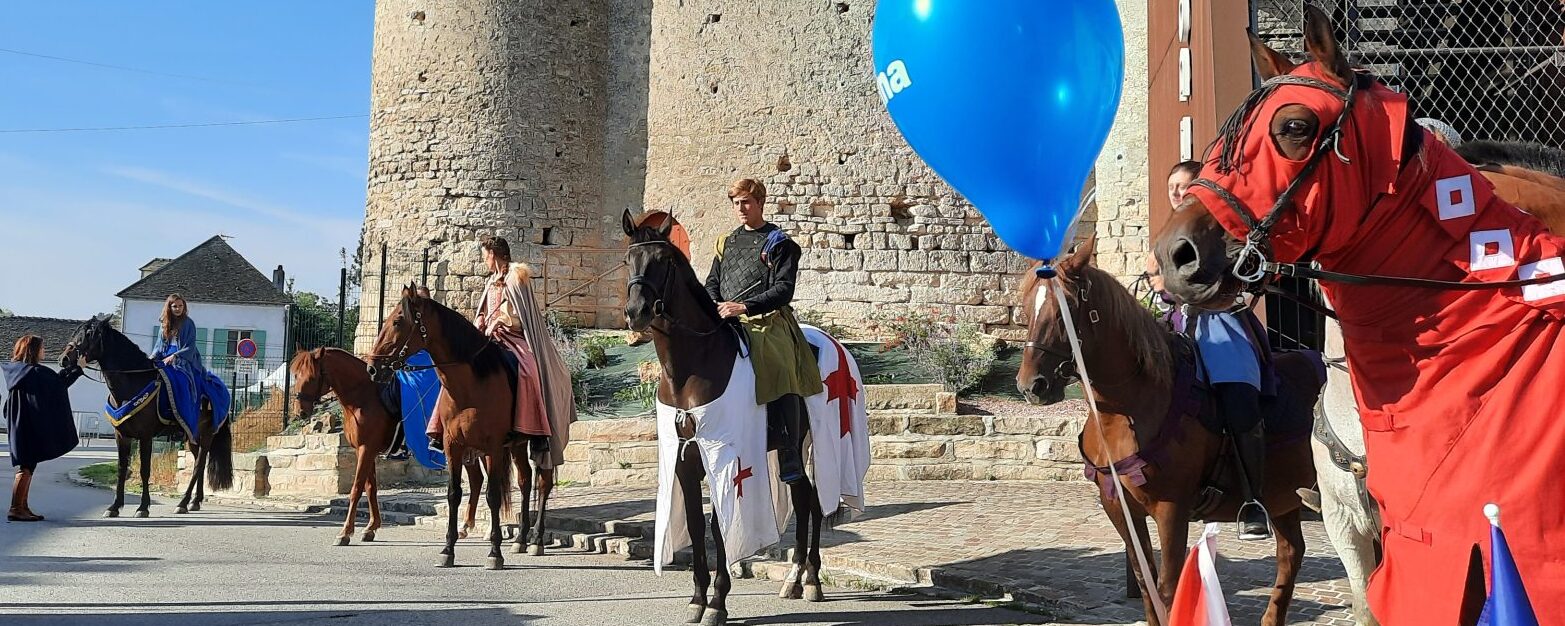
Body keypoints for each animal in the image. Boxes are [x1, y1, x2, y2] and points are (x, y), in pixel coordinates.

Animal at [62, 317, 231, 519]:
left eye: (89, 334)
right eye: (76, 333)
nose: (65, 359)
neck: (131, 384)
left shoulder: (145, 436)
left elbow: (144, 470)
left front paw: (142, 507)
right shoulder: (122, 436)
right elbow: (121, 469)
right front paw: (114, 506)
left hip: (206, 435)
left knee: (198, 465)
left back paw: (182, 503)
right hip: (191, 437)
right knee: (201, 464)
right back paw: (195, 502)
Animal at [287, 347, 488, 547]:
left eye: (312, 376)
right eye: (296, 375)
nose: (300, 411)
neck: (363, 397)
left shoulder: (366, 449)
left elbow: (356, 489)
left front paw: (345, 532)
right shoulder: (366, 451)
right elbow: (370, 488)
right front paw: (371, 527)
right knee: (477, 480)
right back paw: (465, 527)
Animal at [619, 209, 870, 626]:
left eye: (664, 260)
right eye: (628, 260)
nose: (636, 313)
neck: (694, 365)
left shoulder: (726, 459)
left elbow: (719, 526)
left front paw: (718, 602)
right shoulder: (685, 460)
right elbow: (695, 522)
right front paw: (697, 599)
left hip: (824, 444)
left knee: (816, 502)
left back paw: (812, 580)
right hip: (789, 449)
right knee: (804, 499)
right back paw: (795, 580)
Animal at [1014, 236, 1320, 626]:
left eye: (1065, 307)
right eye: (1026, 307)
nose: (1031, 386)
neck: (1128, 409)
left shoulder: (1171, 510)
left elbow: (1168, 588)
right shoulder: (1120, 509)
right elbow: (1146, 585)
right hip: (1284, 498)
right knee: (1291, 553)